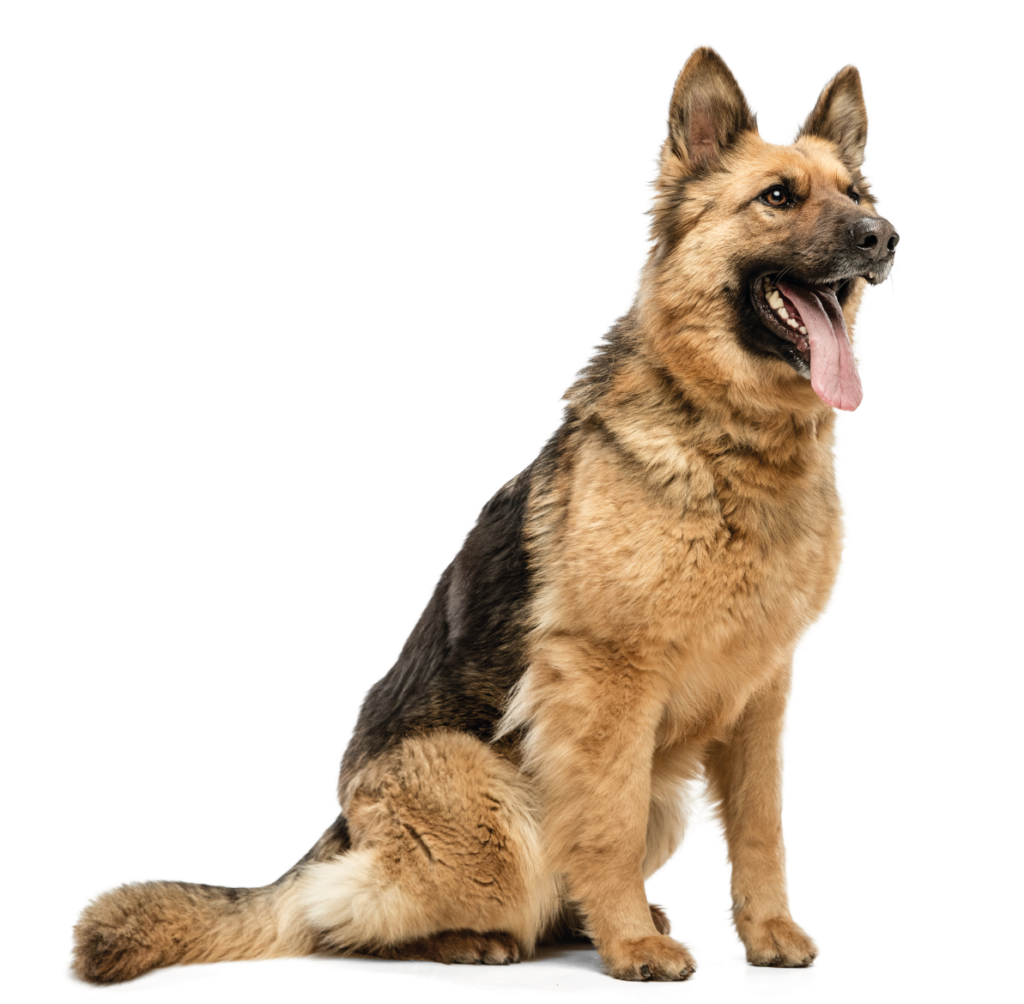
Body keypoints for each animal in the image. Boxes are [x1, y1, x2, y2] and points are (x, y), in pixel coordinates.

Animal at [73, 47, 898, 983]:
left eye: (855, 194)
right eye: (778, 197)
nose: (884, 236)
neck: (731, 440)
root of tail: (338, 831)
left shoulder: (763, 691)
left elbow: (763, 828)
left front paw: (766, 931)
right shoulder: (608, 681)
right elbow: (607, 824)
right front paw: (634, 948)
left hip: (655, 798)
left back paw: (585, 922)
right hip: (492, 806)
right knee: (346, 916)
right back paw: (484, 937)